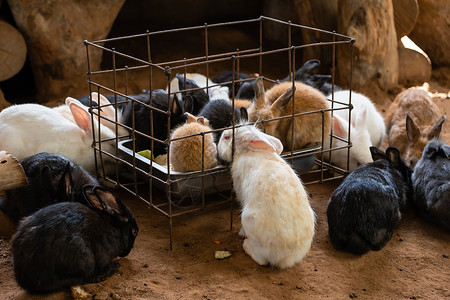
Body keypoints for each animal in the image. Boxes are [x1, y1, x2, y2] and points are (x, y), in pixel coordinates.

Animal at [217, 123, 314, 268]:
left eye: (227, 137)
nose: (218, 143)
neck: (249, 151)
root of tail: (284, 258)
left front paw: (241, 233)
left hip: (248, 218)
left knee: (261, 260)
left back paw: (246, 245)